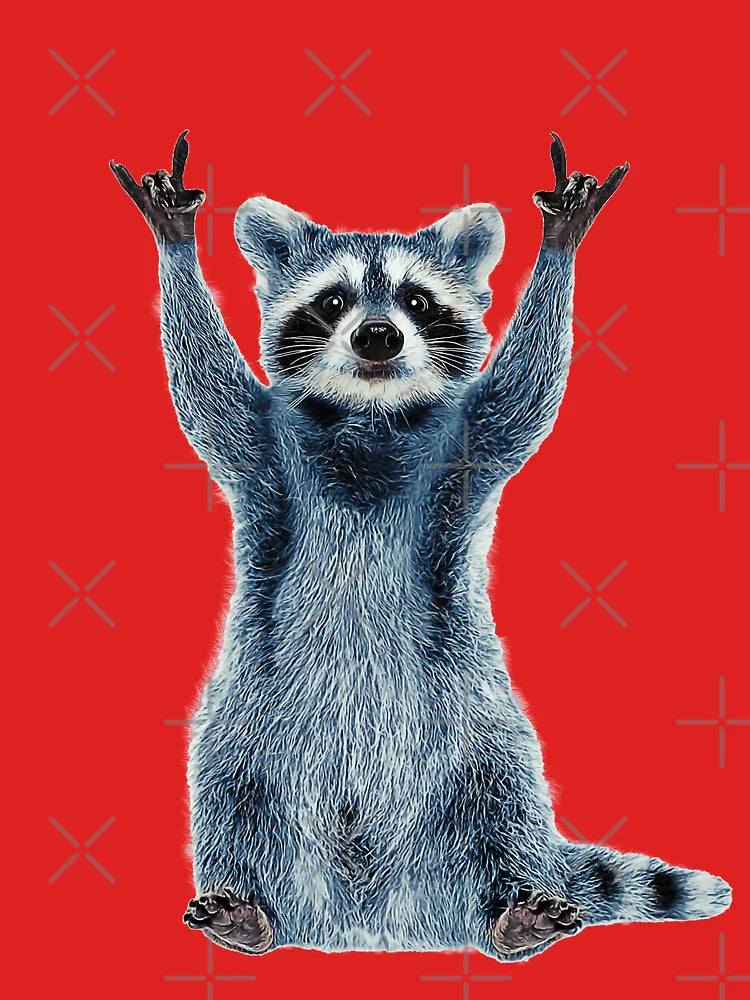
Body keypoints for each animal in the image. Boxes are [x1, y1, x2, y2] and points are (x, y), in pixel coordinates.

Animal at [110, 132, 731, 961]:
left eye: (416, 300)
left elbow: (524, 395)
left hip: (479, 730)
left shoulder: (466, 447)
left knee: (506, 800)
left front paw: (559, 245)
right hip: (249, 716)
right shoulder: (264, 448)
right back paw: (252, 910)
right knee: (229, 788)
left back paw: (510, 917)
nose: (378, 336)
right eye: (333, 301)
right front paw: (176, 242)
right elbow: (207, 391)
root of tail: (376, 922)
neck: (370, 416)